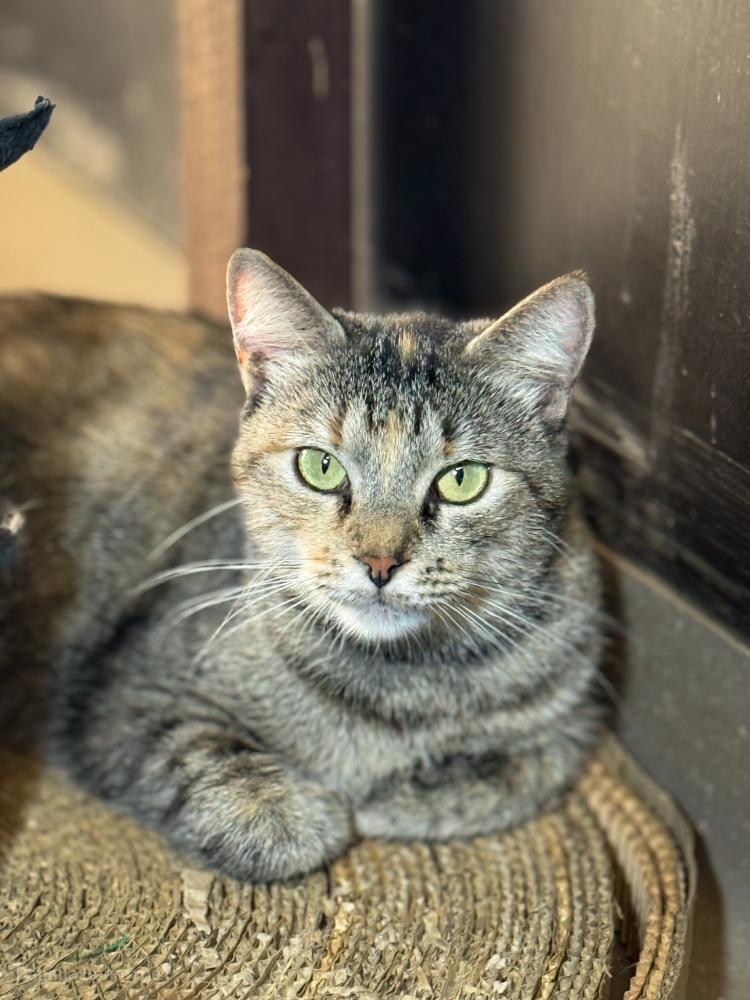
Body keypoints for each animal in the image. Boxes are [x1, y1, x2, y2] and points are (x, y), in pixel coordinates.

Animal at [0, 250, 603, 881]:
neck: (397, 689)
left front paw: (401, 795)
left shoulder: (572, 716)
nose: (380, 562)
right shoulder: (122, 696)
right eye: (320, 467)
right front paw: (299, 810)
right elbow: (217, 776)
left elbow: (527, 769)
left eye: (462, 480)